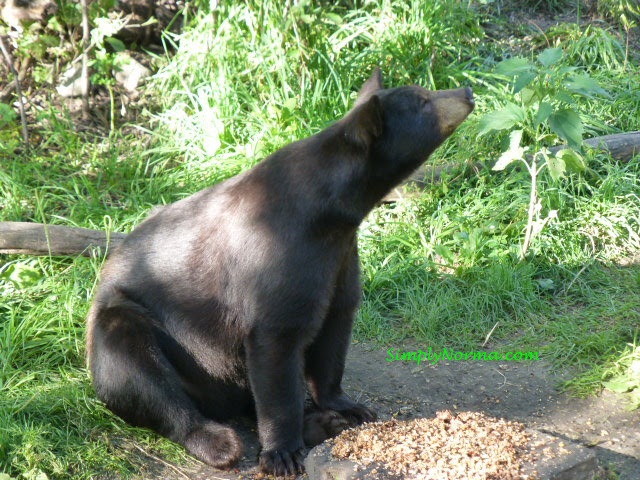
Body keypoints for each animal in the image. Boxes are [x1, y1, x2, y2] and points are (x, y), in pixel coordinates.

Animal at [86, 69, 476, 478]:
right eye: (423, 102)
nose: (467, 91)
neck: (332, 214)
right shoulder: (278, 257)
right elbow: (277, 346)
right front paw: (283, 454)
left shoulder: (338, 258)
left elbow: (334, 328)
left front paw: (348, 407)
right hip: (150, 335)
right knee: (140, 373)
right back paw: (219, 442)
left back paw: (322, 422)